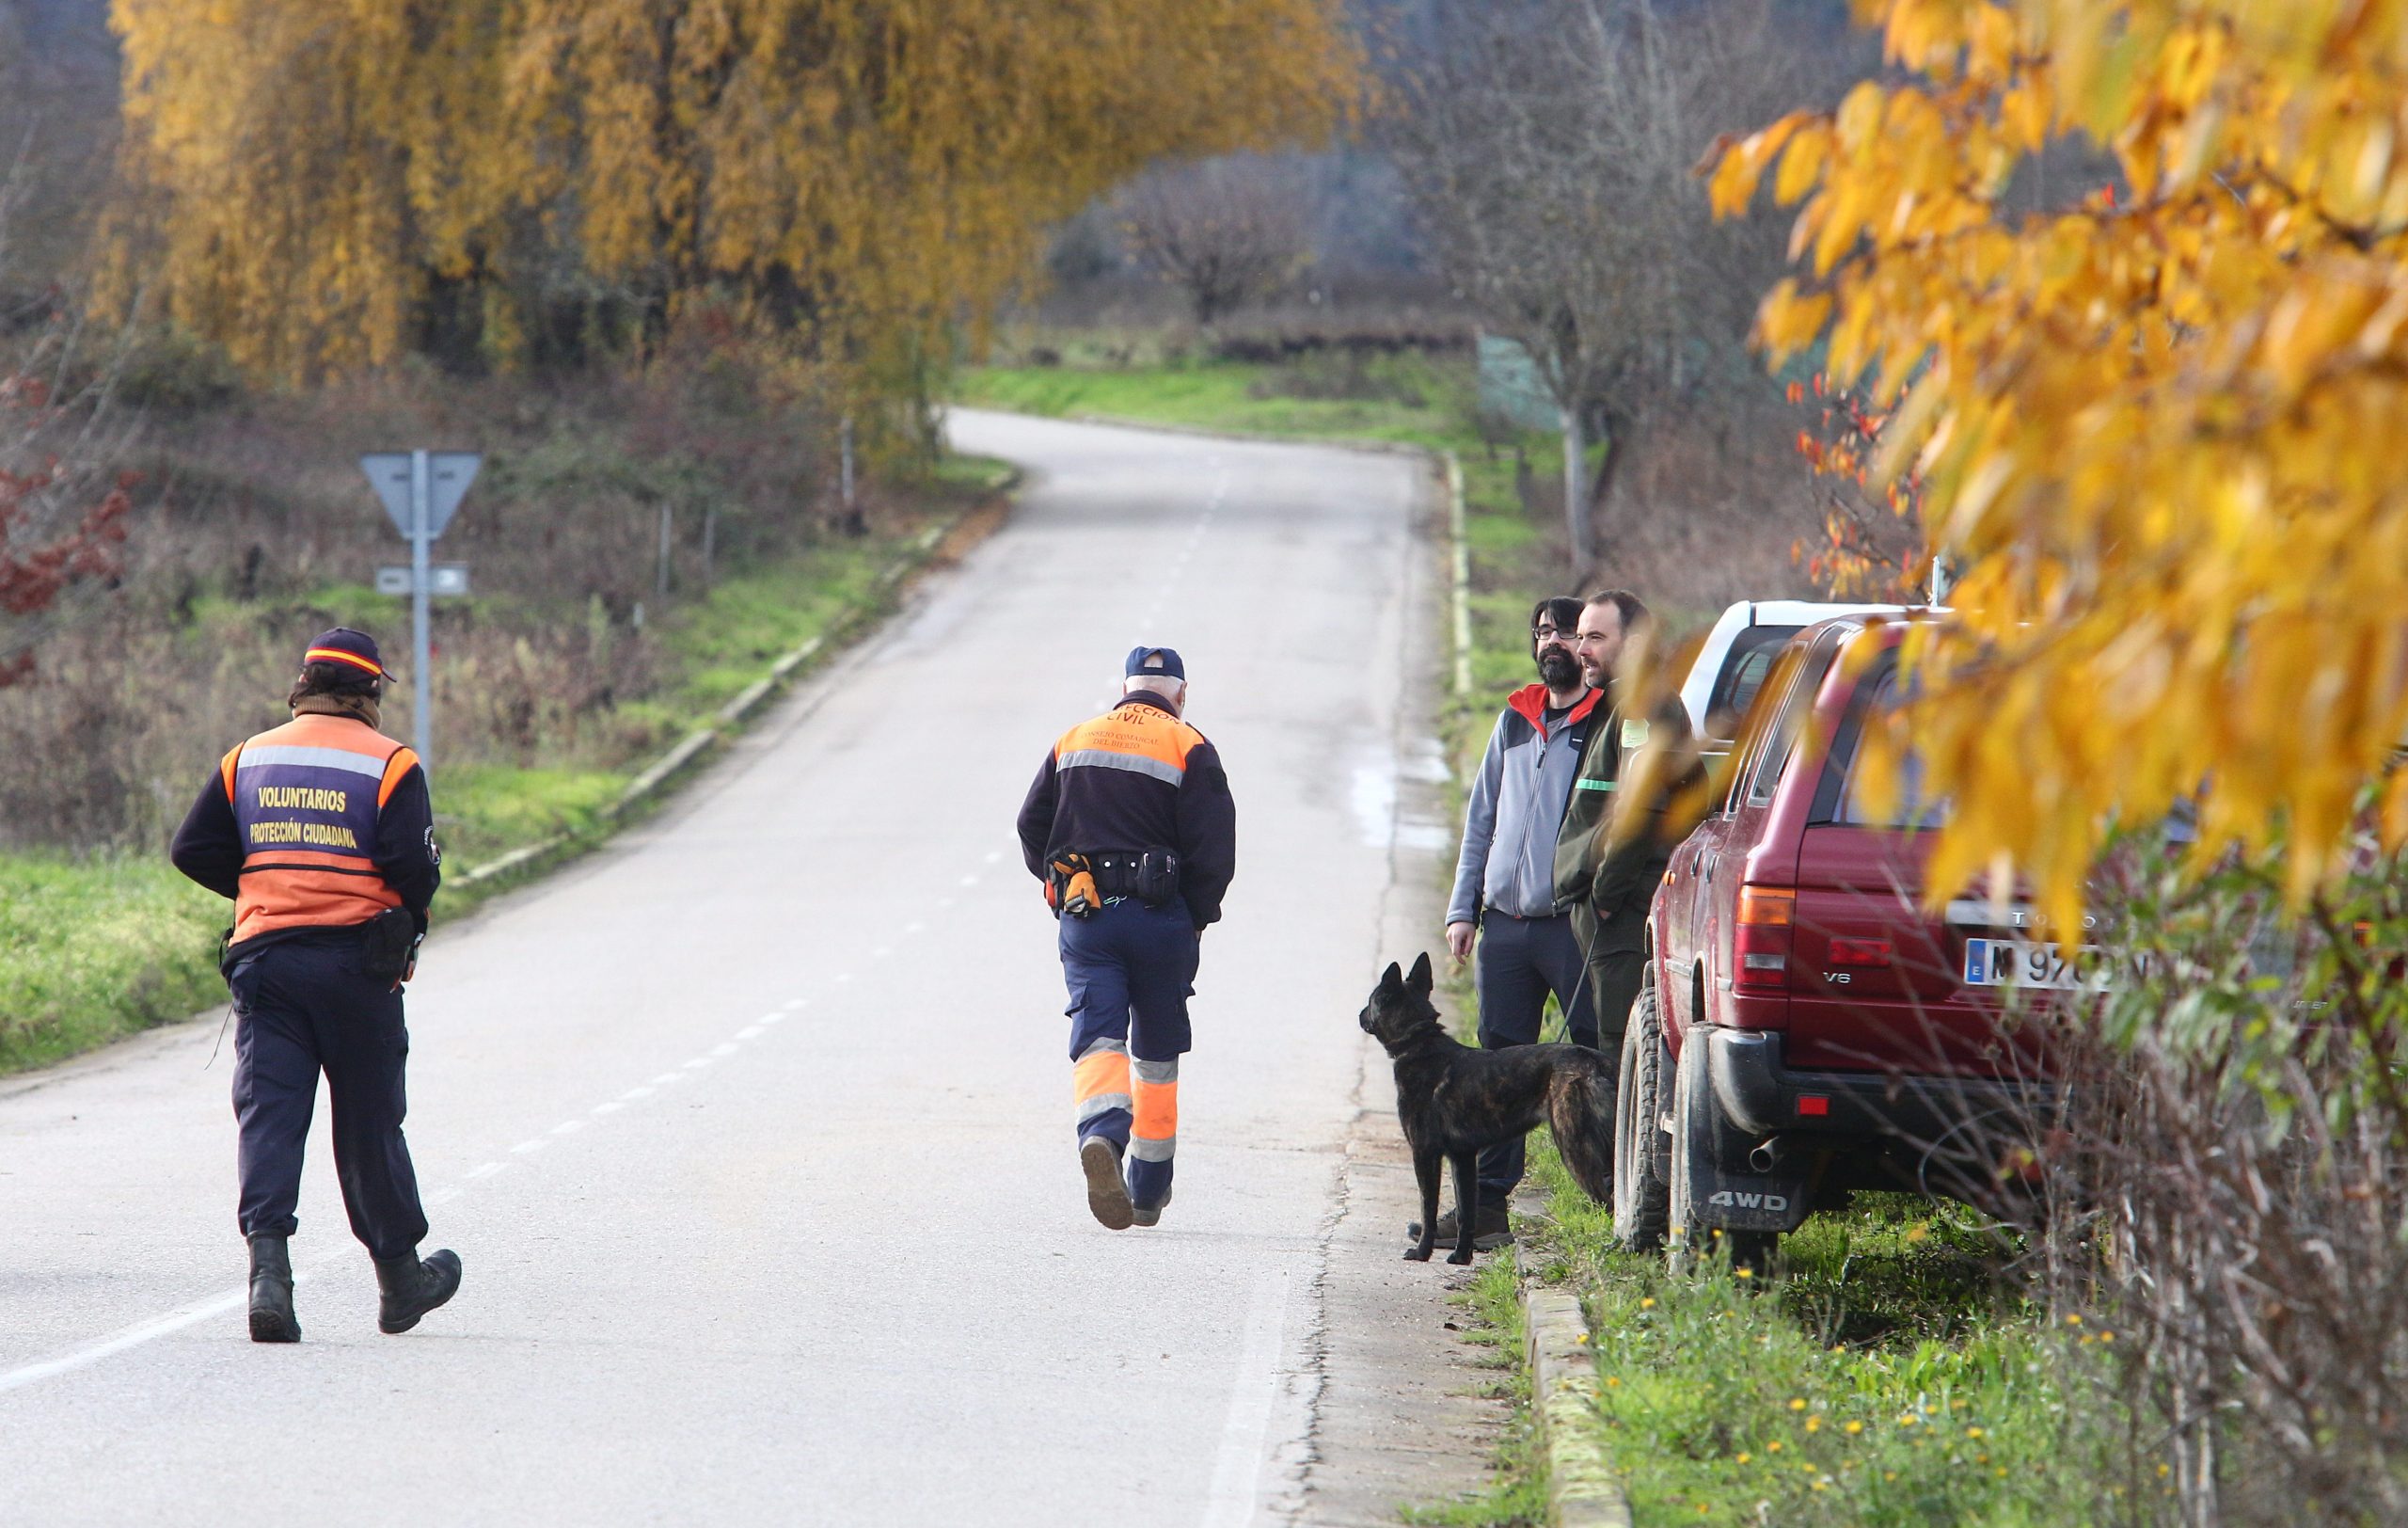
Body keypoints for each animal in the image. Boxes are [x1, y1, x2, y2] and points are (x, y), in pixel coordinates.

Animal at [1357, 954, 1618, 1263]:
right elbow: (1466, 1213)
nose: (1359, 1015)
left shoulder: (1425, 1154)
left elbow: (1428, 1209)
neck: (1419, 1041)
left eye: (1371, 1000)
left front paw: (1422, 1251)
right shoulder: (1463, 1159)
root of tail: (1594, 1061)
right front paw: (1462, 1256)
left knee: (1609, 1202)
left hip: (1575, 1148)